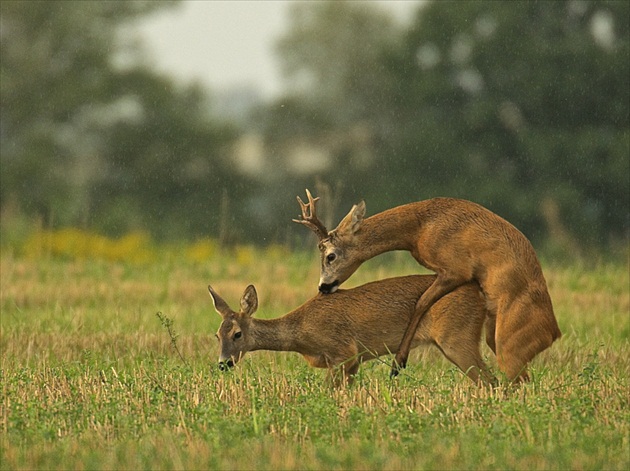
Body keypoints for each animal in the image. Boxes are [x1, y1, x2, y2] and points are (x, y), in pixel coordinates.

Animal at [209, 276, 498, 388]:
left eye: (237, 334)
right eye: (217, 335)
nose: (223, 363)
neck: (301, 333)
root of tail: (481, 295)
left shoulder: (343, 351)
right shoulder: (354, 360)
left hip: (456, 337)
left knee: (491, 380)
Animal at [292, 190, 564, 382]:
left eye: (330, 256)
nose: (323, 287)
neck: (419, 228)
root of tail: (555, 333)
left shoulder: (456, 269)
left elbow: (421, 302)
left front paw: (398, 363)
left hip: (509, 343)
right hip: (493, 337)